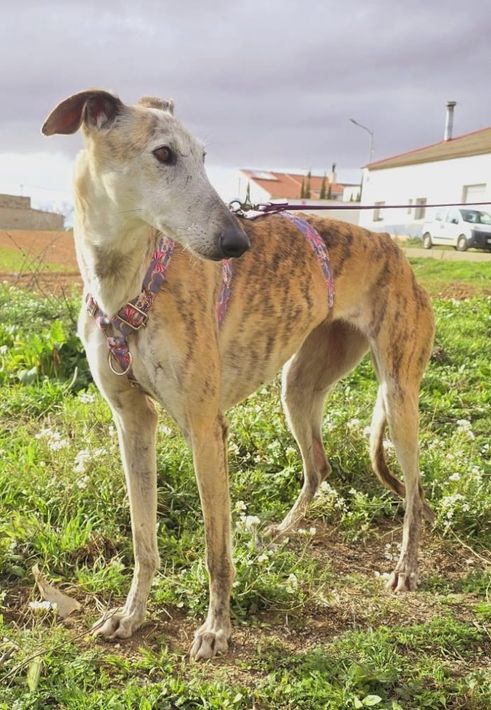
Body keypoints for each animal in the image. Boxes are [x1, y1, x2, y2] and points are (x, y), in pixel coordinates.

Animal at [42, 89, 435, 660]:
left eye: (204, 157)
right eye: (163, 154)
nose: (237, 243)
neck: (129, 281)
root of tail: (398, 251)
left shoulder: (207, 429)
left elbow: (216, 551)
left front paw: (216, 629)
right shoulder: (133, 423)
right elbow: (143, 539)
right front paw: (131, 615)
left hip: (400, 394)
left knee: (413, 492)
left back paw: (405, 567)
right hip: (299, 387)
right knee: (320, 465)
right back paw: (281, 534)